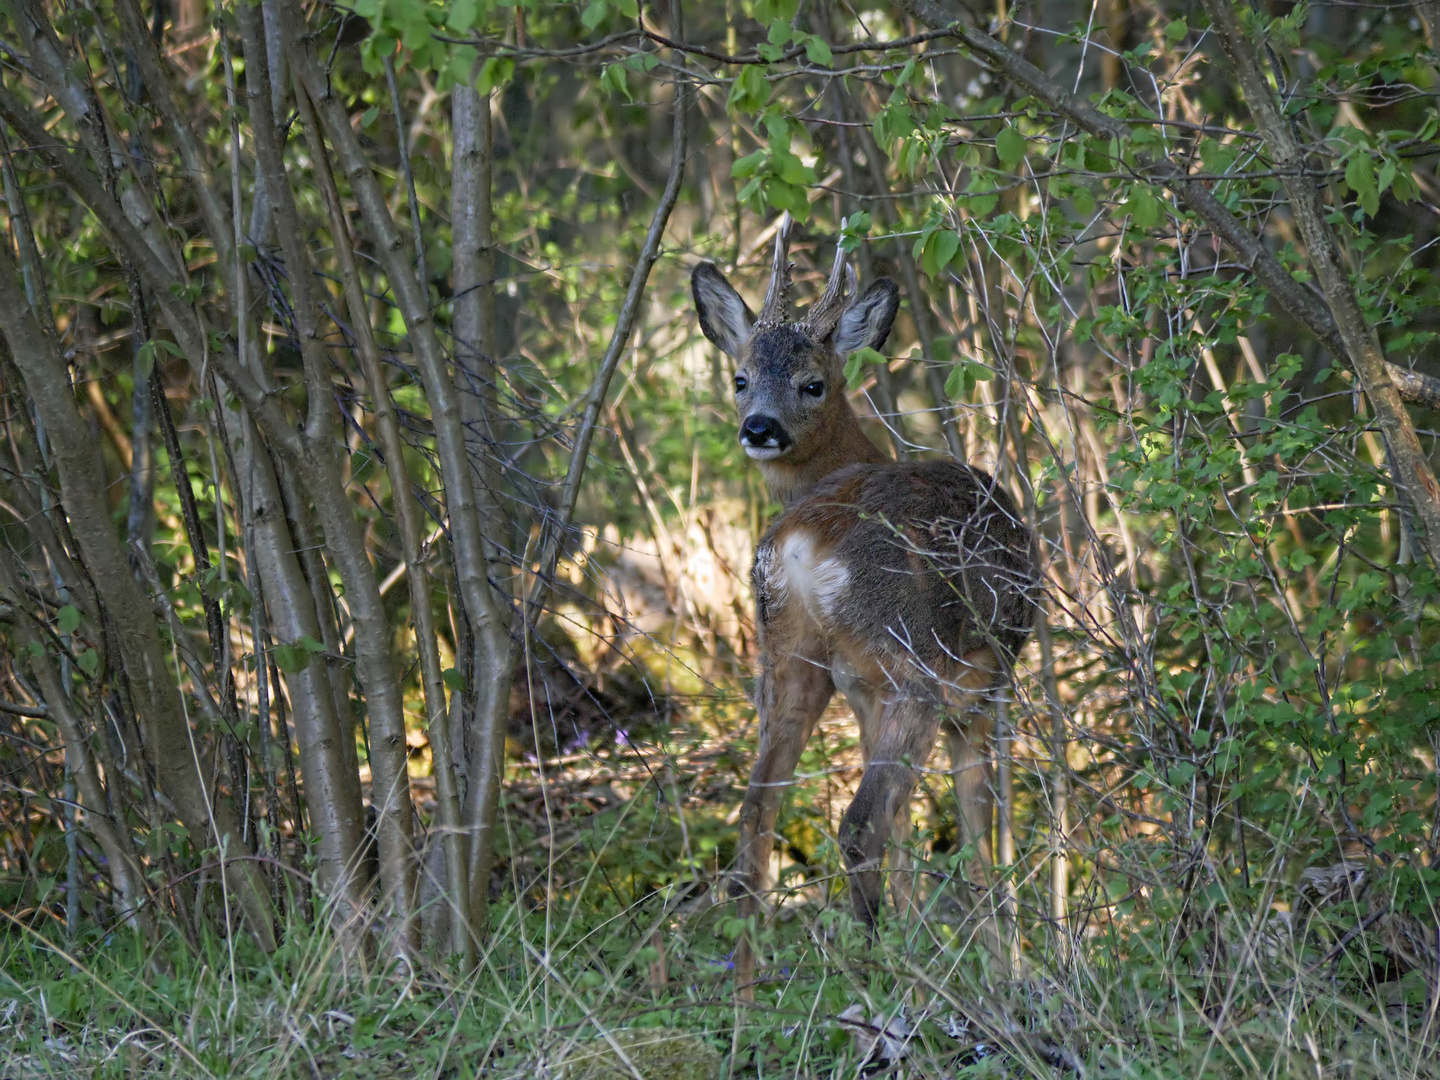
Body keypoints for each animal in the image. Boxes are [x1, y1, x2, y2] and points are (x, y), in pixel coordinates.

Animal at [694, 217, 1042, 996]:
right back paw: (878, 975)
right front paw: (1004, 966)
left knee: (758, 808)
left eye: (811, 382)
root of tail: (799, 542)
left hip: (791, 659)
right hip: (914, 662)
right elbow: (978, 825)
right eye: (740, 378)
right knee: (859, 825)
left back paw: (748, 992)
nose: (758, 426)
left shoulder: (863, 693)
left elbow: (915, 830)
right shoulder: (983, 689)